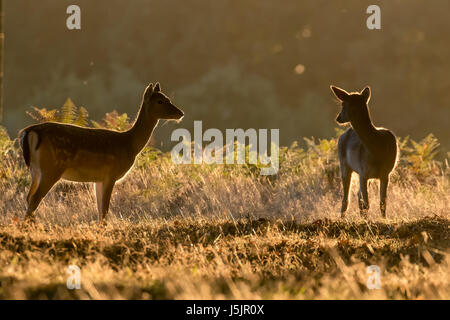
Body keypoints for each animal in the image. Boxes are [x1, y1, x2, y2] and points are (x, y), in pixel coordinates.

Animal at [18, 82, 182, 222]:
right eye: (160, 101)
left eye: (168, 98)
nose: (181, 113)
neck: (130, 145)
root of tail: (28, 132)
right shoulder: (111, 174)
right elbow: (105, 210)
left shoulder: (98, 179)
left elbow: (99, 210)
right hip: (51, 168)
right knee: (35, 199)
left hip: (35, 170)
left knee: (28, 197)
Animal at [330, 85, 398, 218]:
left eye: (343, 104)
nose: (338, 118)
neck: (378, 149)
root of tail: (343, 135)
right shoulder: (363, 172)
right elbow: (367, 204)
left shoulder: (385, 173)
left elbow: (383, 202)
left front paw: (384, 219)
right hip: (344, 164)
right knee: (346, 199)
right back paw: (342, 218)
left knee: (357, 197)